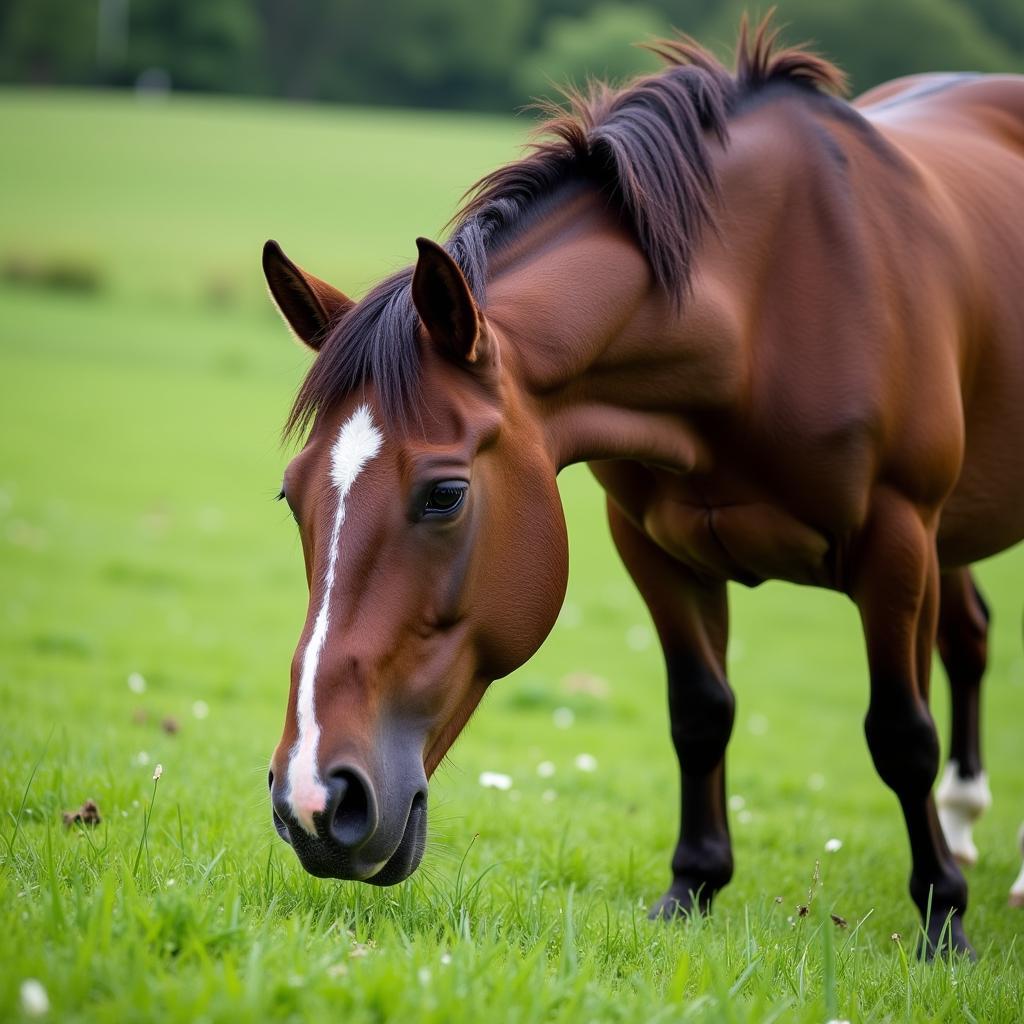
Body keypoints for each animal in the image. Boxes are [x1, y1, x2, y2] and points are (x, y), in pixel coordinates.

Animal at [262, 19, 1024, 954]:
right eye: (293, 497)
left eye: (445, 495)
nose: (313, 800)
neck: (765, 307)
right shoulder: (654, 547)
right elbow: (699, 711)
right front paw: (692, 886)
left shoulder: (896, 540)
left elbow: (900, 734)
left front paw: (943, 919)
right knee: (970, 634)